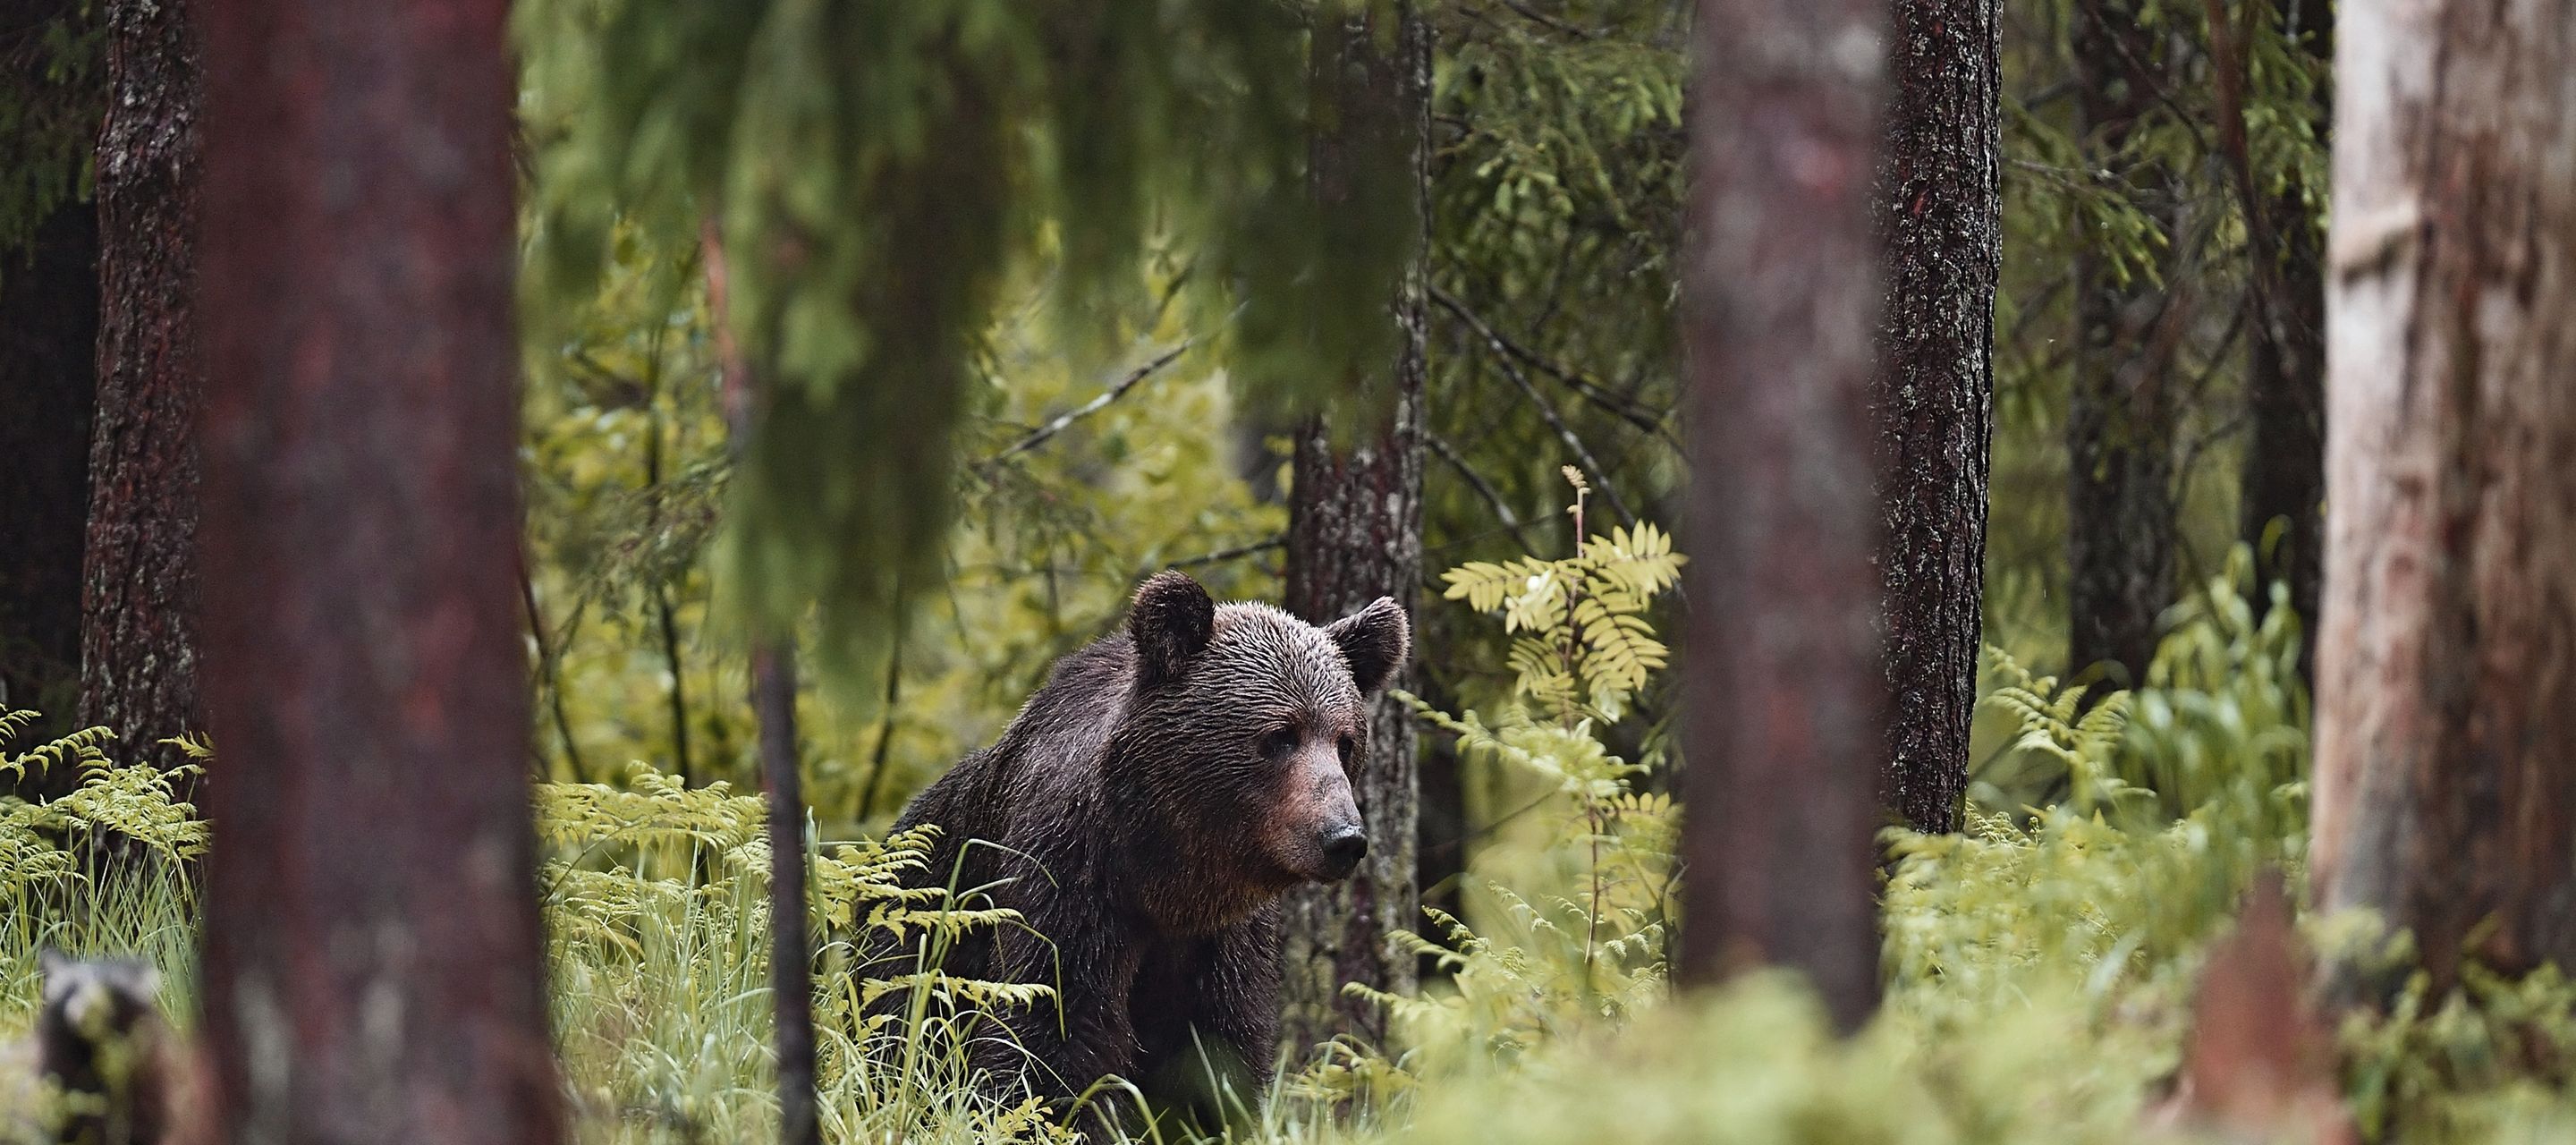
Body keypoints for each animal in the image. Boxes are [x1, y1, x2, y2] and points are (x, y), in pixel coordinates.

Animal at [863, 569, 1409, 1123]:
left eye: (1344, 741)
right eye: (1280, 736)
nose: (1344, 838)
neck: (1163, 870)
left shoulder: (1220, 939)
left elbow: (1218, 1049)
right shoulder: (1068, 882)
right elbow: (1052, 1033)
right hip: (915, 930)